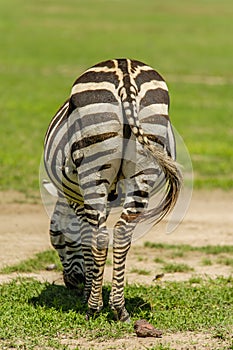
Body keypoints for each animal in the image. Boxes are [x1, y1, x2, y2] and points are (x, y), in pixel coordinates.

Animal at [43, 58, 182, 322]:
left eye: (58, 241)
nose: (71, 284)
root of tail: (125, 74)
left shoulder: (78, 200)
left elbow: (86, 238)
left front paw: (88, 293)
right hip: (145, 164)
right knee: (122, 232)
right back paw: (119, 308)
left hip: (92, 170)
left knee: (99, 237)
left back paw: (93, 307)